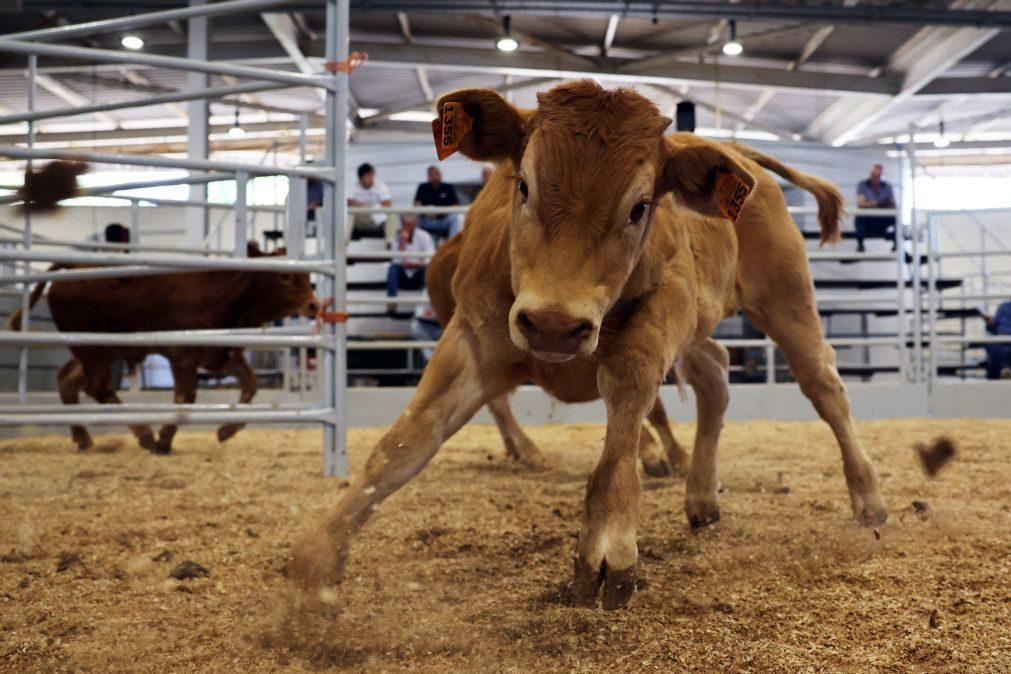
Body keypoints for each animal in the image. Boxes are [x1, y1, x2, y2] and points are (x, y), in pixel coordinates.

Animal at [293, 81, 885, 610]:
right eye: (523, 185)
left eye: (640, 206)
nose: (553, 325)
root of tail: (739, 154)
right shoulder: (472, 335)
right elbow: (406, 442)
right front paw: (319, 560)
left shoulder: (665, 309)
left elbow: (626, 400)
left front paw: (607, 540)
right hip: (704, 329)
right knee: (715, 375)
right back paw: (699, 494)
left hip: (784, 296)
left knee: (823, 384)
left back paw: (868, 499)